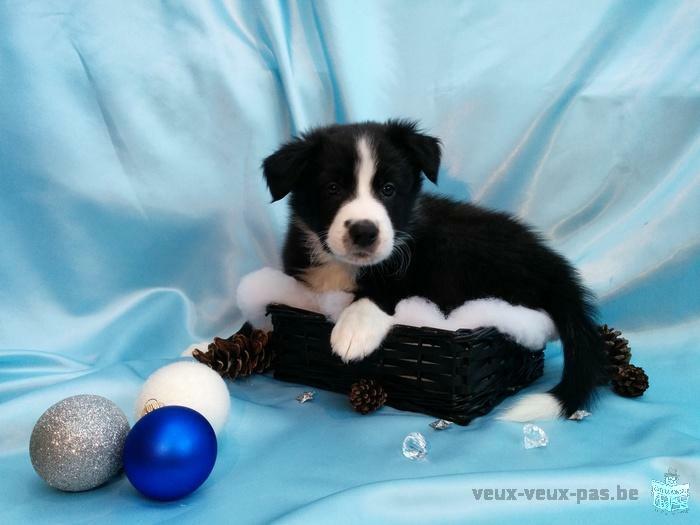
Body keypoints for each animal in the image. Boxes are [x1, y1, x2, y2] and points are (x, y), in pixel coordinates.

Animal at [262, 121, 608, 420]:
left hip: (461, 249)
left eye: (388, 189)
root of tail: (550, 264)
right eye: (332, 188)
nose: (364, 232)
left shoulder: (415, 264)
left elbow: (387, 289)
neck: (348, 266)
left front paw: (353, 331)